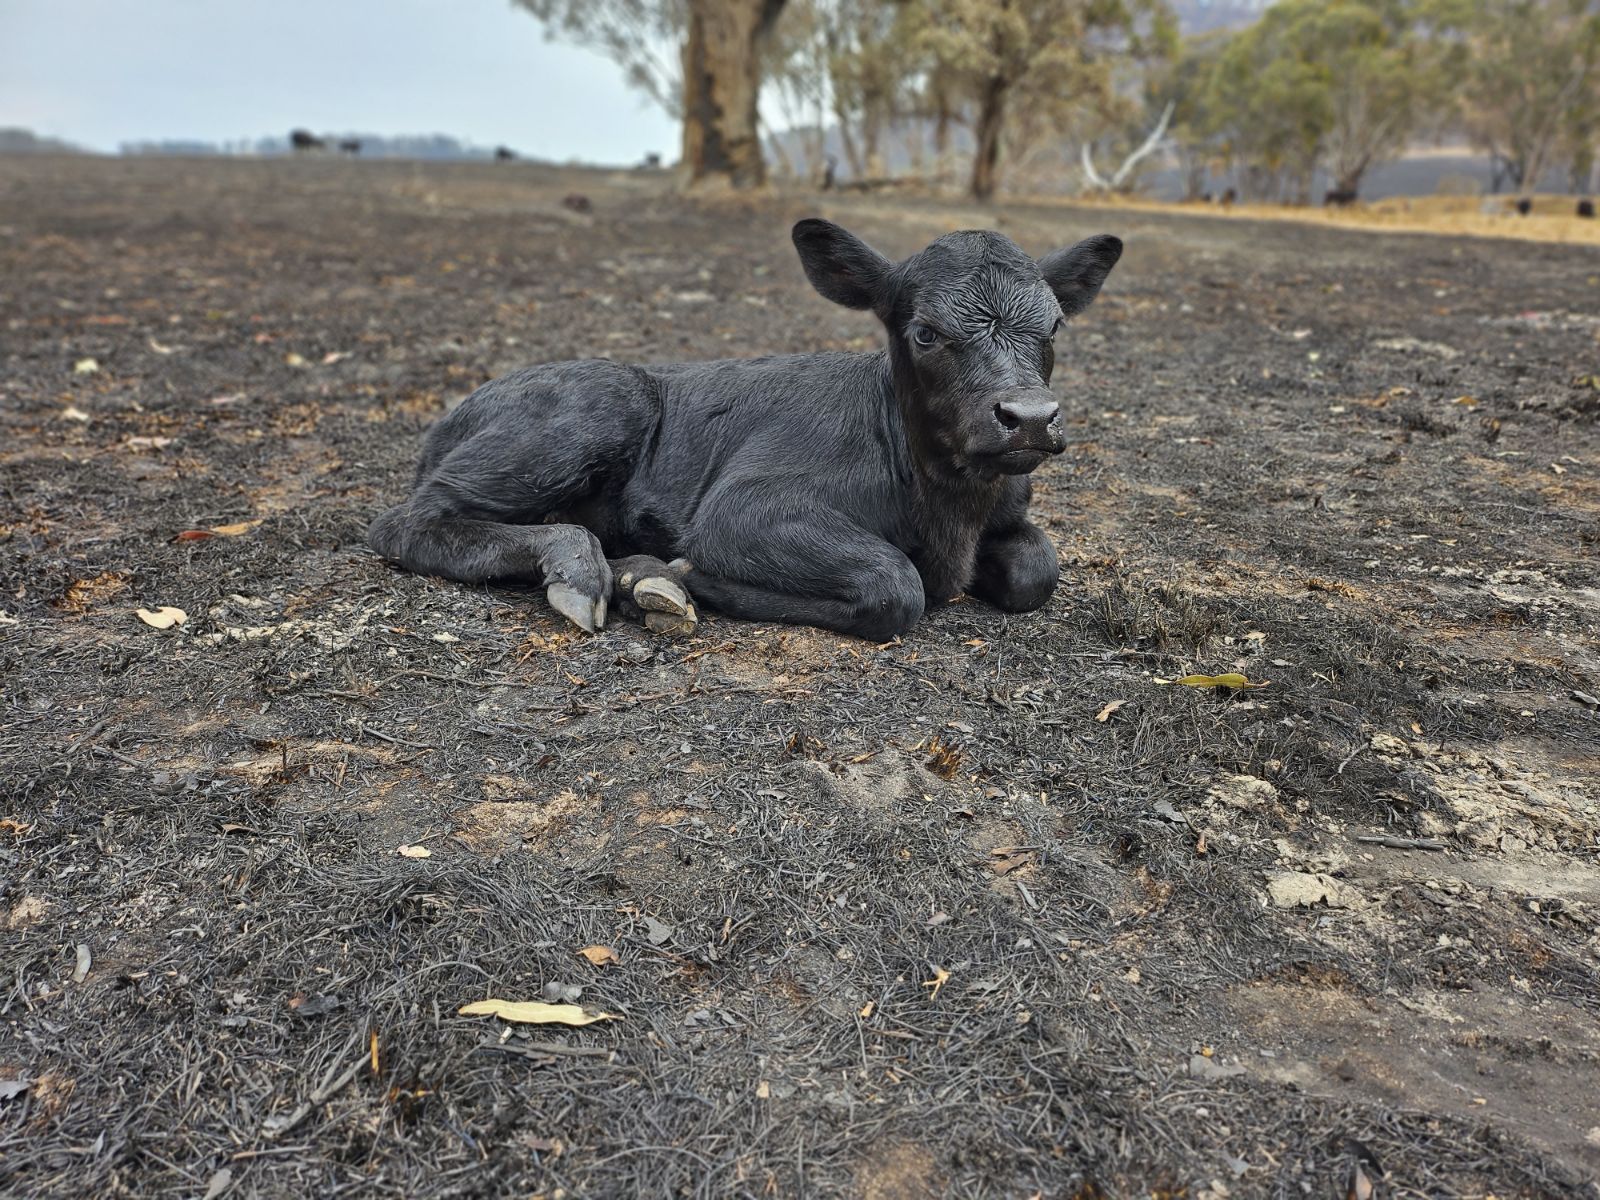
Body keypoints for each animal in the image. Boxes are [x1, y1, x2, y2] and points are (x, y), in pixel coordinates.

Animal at [368, 219, 1123, 641]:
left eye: (1055, 326)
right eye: (927, 332)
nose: (1029, 417)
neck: (946, 512)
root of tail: (459, 408)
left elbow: (1037, 570)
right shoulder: (741, 507)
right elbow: (894, 584)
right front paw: (676, 576)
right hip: (596, 408)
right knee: (408, 522)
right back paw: (586, 566)